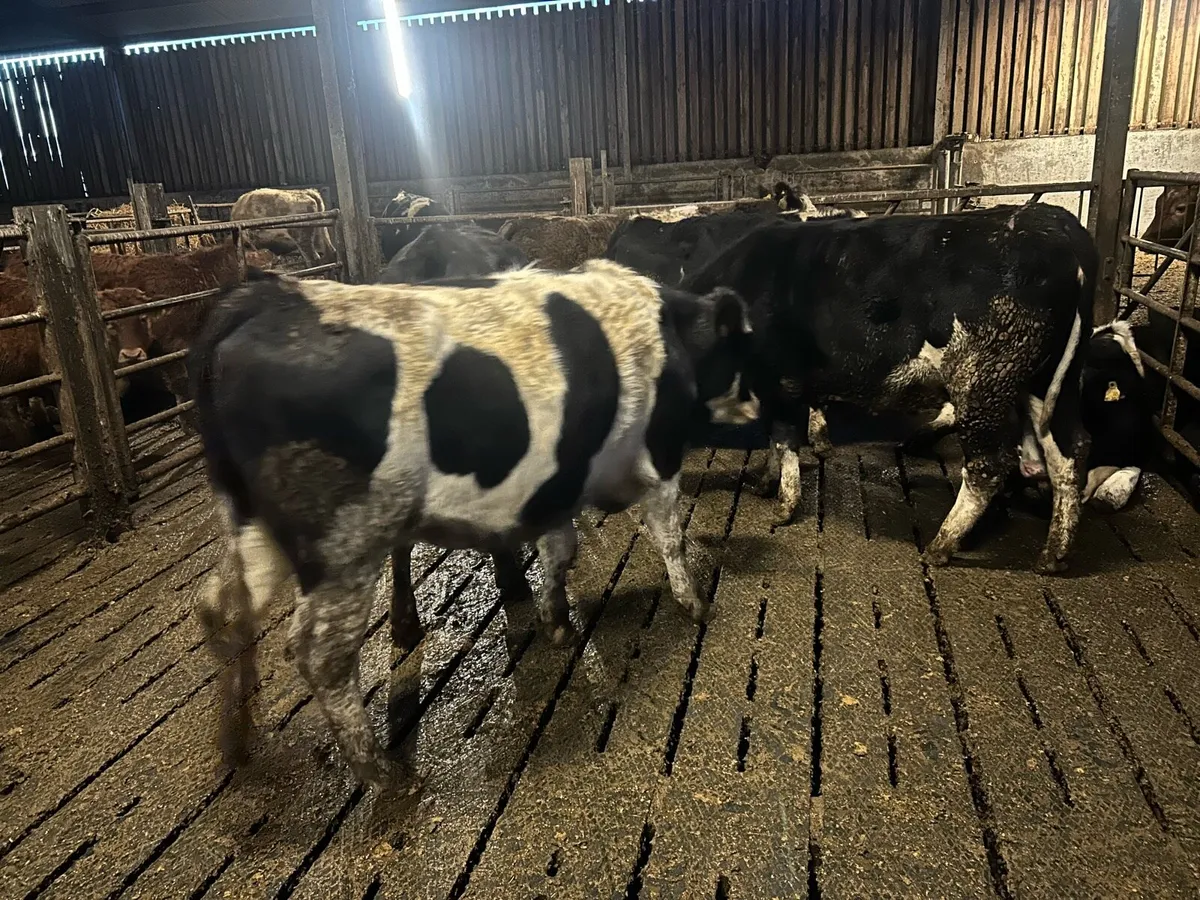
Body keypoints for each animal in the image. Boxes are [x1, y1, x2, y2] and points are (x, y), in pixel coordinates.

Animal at [188, 262, 752, 785]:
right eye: (744, 349)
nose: (758, 407)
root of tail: (266, 299)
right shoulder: (660, 459)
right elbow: (669, 536)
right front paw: (695, 604)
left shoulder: (556, 485)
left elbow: (560, 550)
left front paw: (556, 623)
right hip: (347, 544)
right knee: (321, 654)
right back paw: (389, 775)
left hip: (250, 522)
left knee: (220, 608)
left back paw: (235, 740)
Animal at [682, 203, 1097, 574]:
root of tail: (1049, 220)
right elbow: (773, 437)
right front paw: (765, 482)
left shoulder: (781, 379)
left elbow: (783, 439)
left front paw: (784, 506)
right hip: (1047, 380)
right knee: (1068, 449)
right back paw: (1053, 554)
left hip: (982, 378)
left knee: (988, 464)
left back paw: (941, 545)